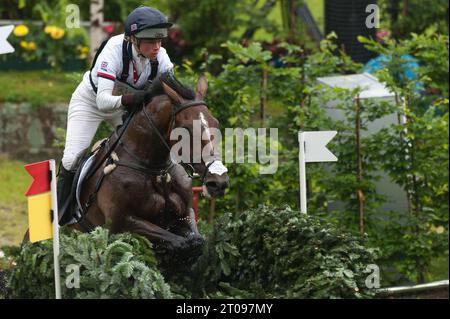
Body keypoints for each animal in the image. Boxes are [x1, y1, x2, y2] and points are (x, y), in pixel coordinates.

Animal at [72, 73, 230, 260]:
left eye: (216, 123)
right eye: (186, 129)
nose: (218, 182)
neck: (155, 169)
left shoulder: (186, 213)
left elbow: (196, 241)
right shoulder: (120, 224)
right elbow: (180, 243)